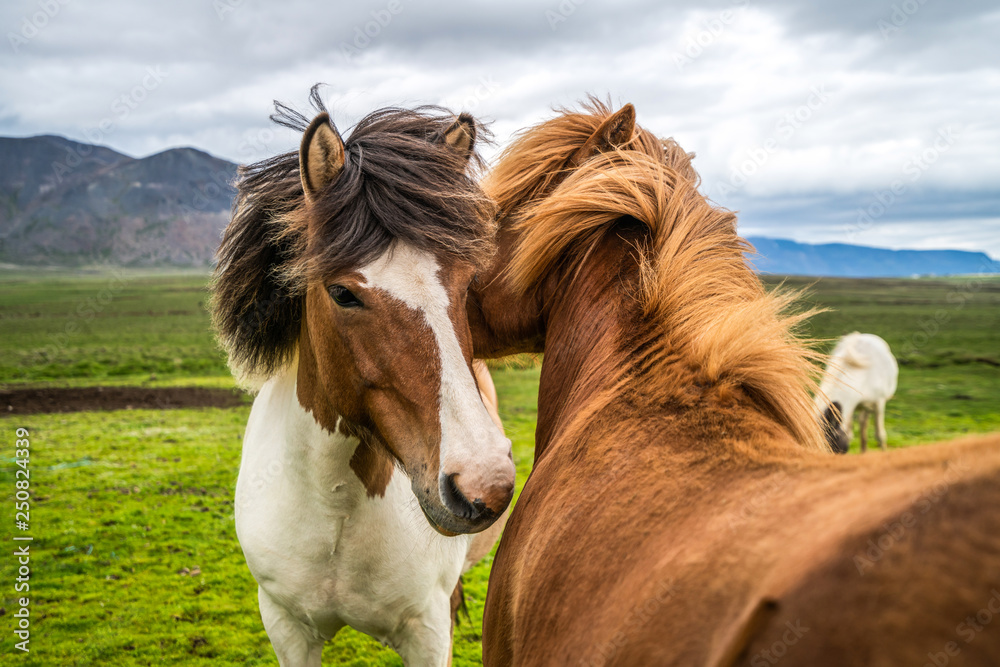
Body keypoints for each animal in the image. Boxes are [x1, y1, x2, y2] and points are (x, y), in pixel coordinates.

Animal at [216, 90, 520, 667]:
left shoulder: (427, 633)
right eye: (342, 293)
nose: (484, 486)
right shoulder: (286, 627)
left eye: (470, 282)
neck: (335, 508)